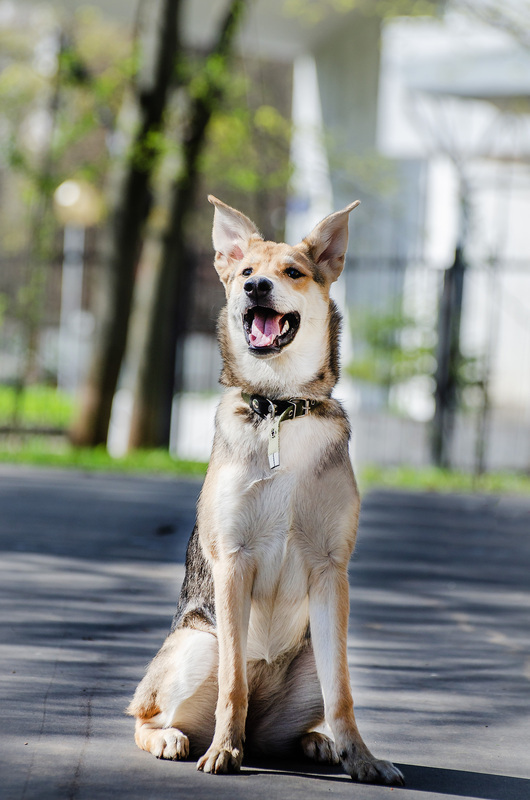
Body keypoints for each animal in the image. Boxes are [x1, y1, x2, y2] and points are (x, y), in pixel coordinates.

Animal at [126, 197, 402, 784]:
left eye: (293, 273)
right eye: (247, 271)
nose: (256, 288)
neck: (280, 407)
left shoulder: (330, 569)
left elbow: (343, 694)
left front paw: (362, 758)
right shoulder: (234, 561)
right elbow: (233, 684)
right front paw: (221, 753)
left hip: (312, 655)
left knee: (304, 714)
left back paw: (318, 743)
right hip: (196, 645)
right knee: (147, 712)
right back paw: (177, 738)